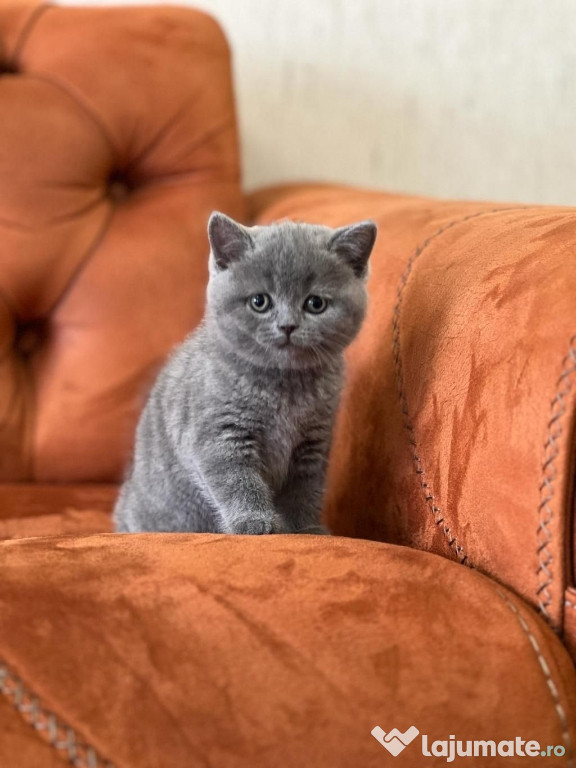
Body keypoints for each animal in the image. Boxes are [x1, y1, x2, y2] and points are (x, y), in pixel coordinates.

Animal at [114, 210, 376, 536]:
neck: (284, 386)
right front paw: (254, 520)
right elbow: (237, 480)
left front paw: (305, 528)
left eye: (315, 303)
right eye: (259, 302)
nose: (287, 326)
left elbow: (305, 490)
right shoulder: (218, 435)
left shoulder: (313, 443)